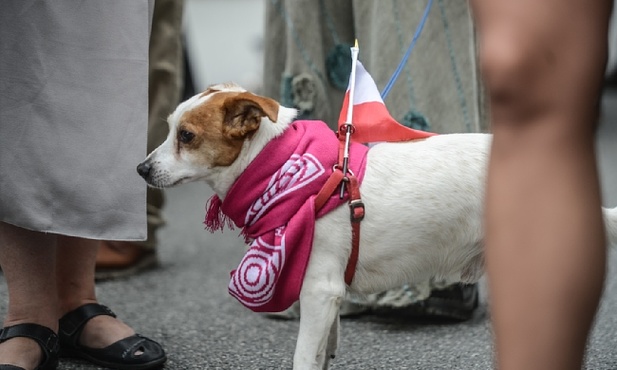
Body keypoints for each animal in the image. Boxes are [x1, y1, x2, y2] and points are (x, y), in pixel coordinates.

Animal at [136, 84, 616, 370]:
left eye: (187, 136)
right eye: (169, 129)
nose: (141, 169)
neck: (287, 171)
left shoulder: (318, 290)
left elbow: (303, 357)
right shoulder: (327, 294)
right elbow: (323, 349)